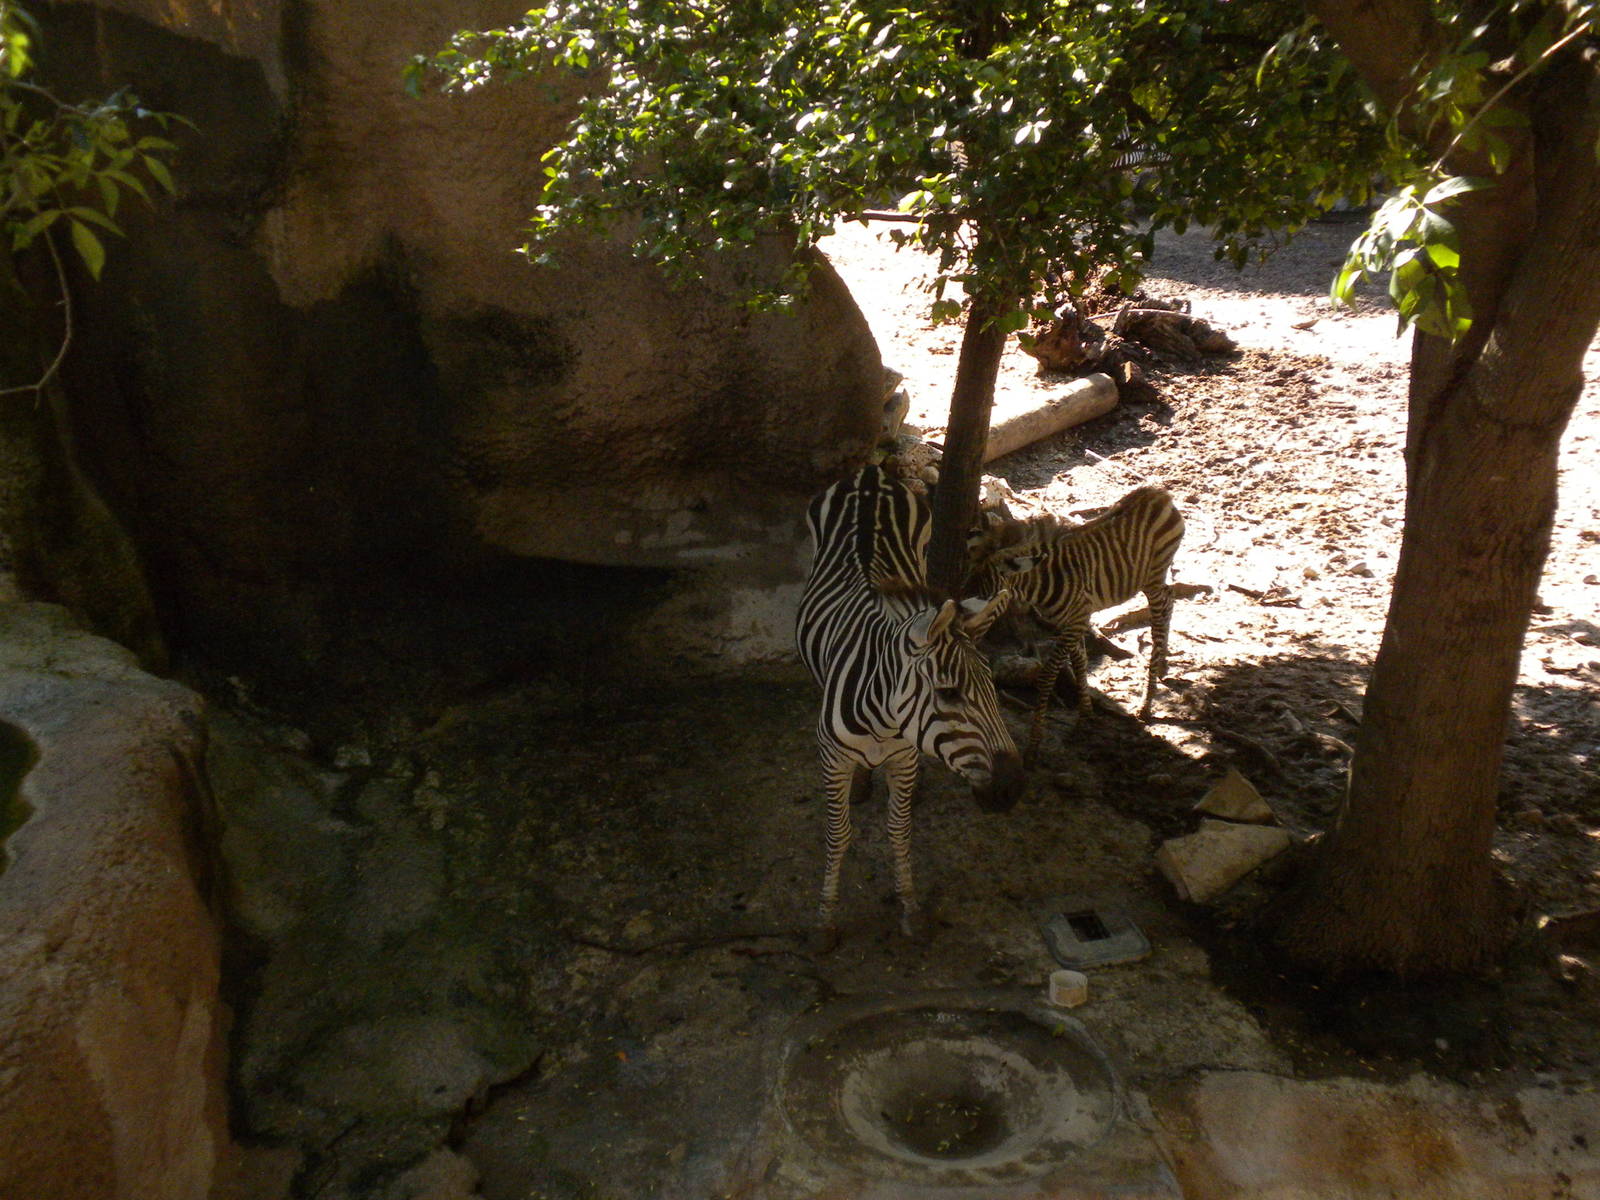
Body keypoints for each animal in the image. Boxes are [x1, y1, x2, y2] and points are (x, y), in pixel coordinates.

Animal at [796, 464, 1024, 950]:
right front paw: (825, 920)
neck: (883, 722)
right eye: (950, 694)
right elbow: (838, 834)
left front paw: (909, 908)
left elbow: (899, 831)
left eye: (994, 688)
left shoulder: (904, 757)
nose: (1012, 790)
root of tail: (870, 473)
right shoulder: (832, 759)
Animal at [971, 485, 1185, 763]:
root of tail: (1158, 492)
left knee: (1160, 613)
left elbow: (1048, 675)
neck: (1041, 585)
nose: (967, 632)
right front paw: (1085, 717)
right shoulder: (1072, 621)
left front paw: (1033, 746)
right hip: (1153, 577)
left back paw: (1147, 702)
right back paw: (1161, 667)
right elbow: (1080, 662)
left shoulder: (1075, 621)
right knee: (1169, 601)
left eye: (988, 599)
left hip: (1153, 575)